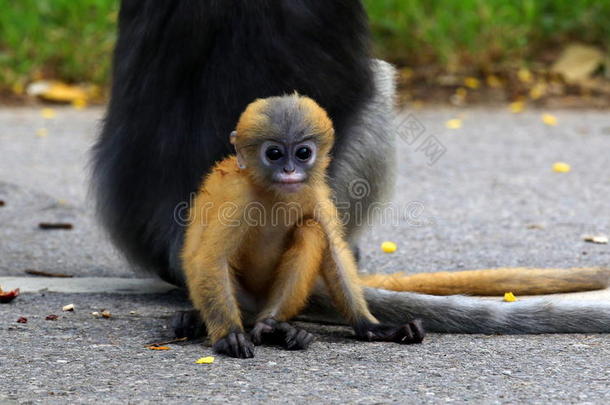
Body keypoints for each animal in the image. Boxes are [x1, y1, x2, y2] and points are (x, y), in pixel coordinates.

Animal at [179, 94, 422, 356]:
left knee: (311, 227)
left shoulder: (316, 195)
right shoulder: (238, 196)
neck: (276, 194)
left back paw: (273, 327)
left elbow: (335, 253)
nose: (289, 170)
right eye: (274, 153)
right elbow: (214, 258)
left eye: (303, 152)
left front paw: (369, 326)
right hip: (243, 298)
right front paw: (228, 335)